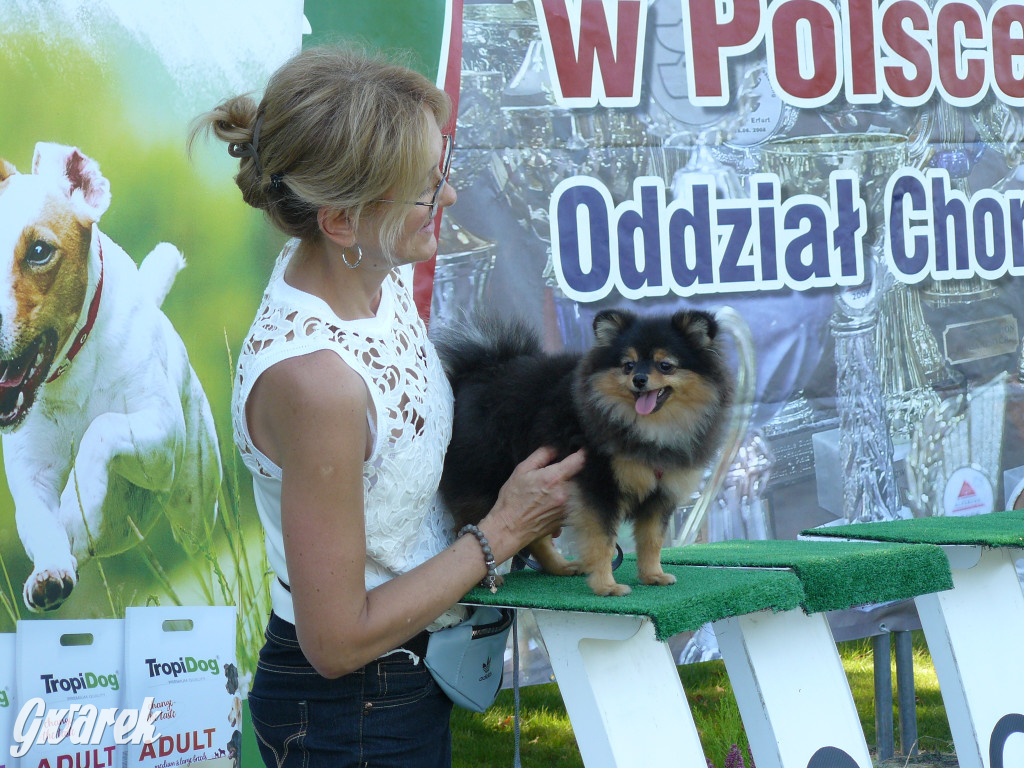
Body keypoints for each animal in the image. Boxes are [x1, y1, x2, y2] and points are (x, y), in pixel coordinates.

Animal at [436, 309, 733, 598]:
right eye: (628, 365)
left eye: (665, 365)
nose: (639, 379)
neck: (651, 429)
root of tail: (480, 370)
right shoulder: (600, 486)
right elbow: (603, 542)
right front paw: (606, 586)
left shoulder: (660, 494)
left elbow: (652, 540)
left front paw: (652, 575)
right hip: (485, 479)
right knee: (471, 525)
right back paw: (488, 577)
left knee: (534, 536)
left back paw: (560, 566)